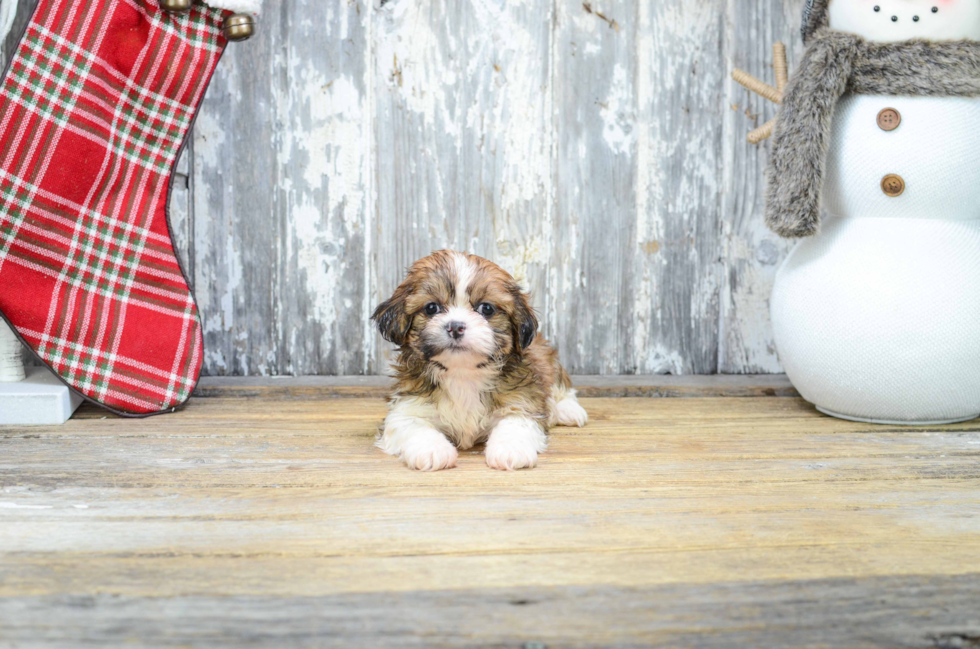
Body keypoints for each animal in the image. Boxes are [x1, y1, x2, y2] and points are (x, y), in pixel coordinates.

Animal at [374, 249, 588, 470]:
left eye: (486, 309)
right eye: (432, 308)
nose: (455, 326)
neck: (462, 373)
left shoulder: (522, 401)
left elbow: (515, 422)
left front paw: (511, 449)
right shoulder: (406, 407)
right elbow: (413, 424)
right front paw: (432, 449)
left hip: (547, 359)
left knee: (560, 387)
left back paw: (568, 410)